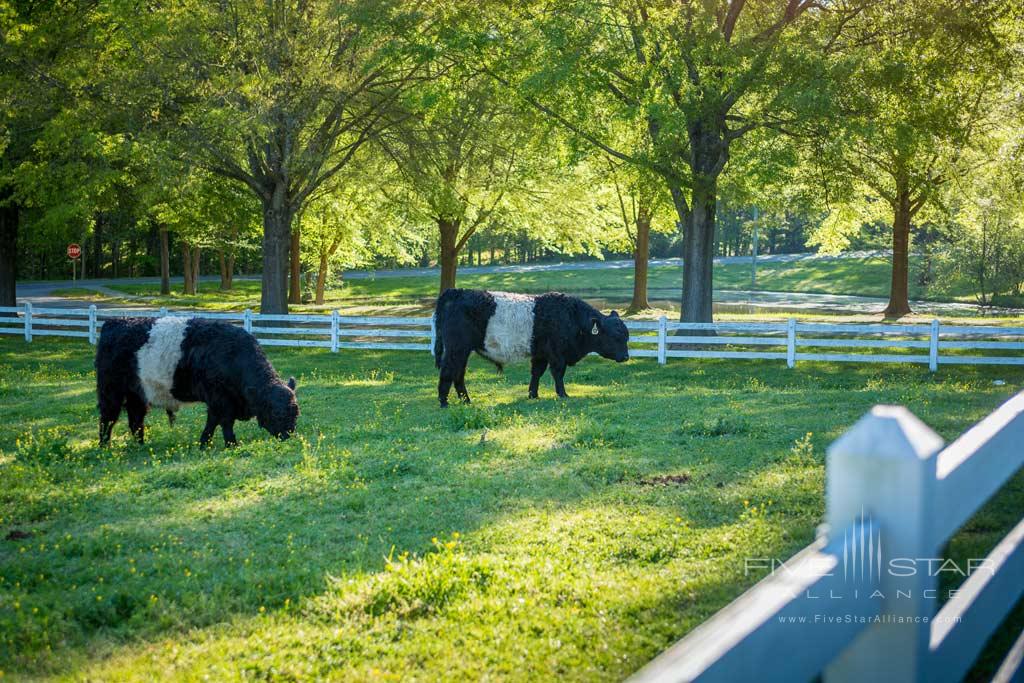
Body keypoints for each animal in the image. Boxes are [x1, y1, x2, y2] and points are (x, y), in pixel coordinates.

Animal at [95, 317, 299, 446]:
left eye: (296, 414)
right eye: (277, 413)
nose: (288, 437)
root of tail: (114, 322)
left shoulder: (219, 402)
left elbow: (212, 422)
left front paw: (204, 443)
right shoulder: (219, 398)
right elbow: (225, 421)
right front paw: (231, 444)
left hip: (137, 393)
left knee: (136, 419)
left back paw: (141, 445)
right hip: (111, 390)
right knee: (108, 418)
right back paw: (104, 447)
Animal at [430, 288, 626, 405]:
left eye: (626, 336)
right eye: (616, 337)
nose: (626, 357)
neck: (571, 317)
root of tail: (457, 292)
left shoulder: (540, 354)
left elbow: (536, 373)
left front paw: (533, 395)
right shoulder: (557, 354)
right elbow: (558, 373)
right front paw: (563, 394)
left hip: (462, 351)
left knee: (458, 374)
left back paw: (466, 400)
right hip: (456, 348)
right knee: (448, 371)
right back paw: (444, 402)